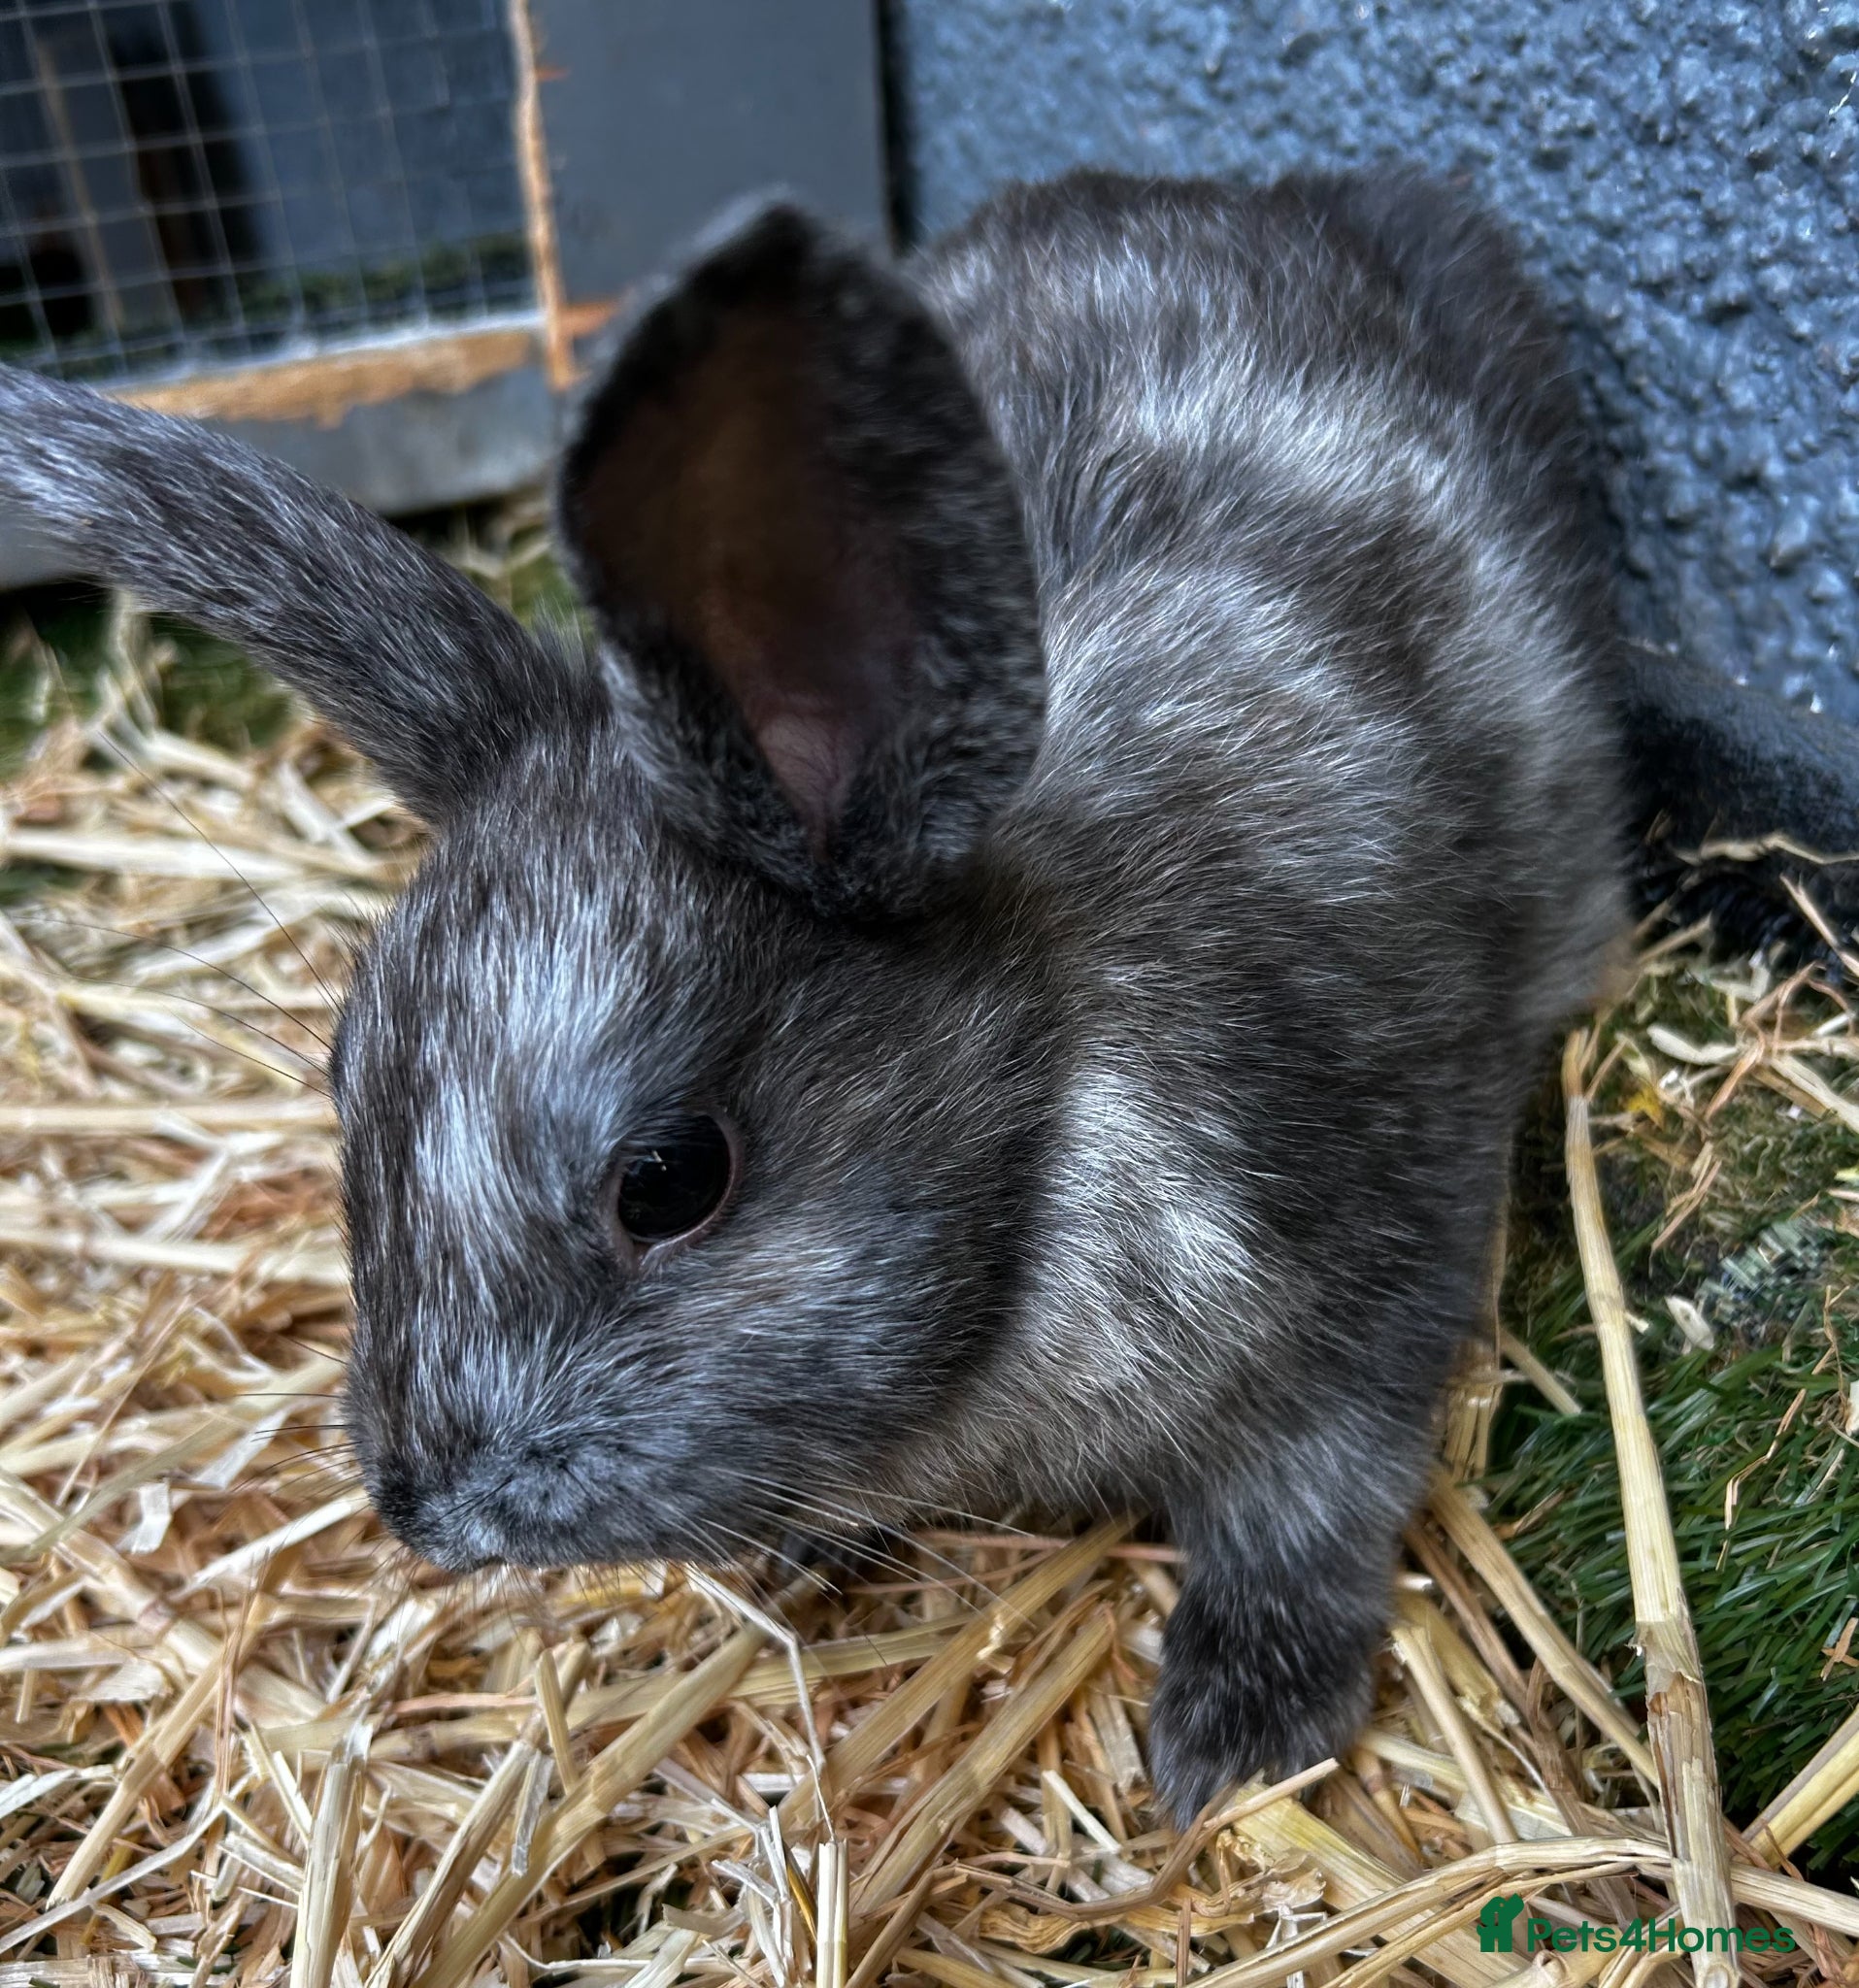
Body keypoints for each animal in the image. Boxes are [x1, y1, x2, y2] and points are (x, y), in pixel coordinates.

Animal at [1, 168, 1854, 1821]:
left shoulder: (1375, 1243)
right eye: (345, 1069)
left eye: (668, 1180)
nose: (420, 1506)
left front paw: (1239, 1735)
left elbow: (1309, 1497)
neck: (1050, 1094)